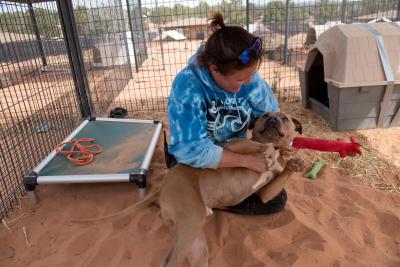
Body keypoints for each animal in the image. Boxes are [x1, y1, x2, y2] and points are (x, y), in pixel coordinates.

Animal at [76, 111, 304, 267]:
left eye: (284, 118)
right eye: (265, 115)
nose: (272, 119)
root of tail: (163, 185)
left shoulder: (264, 193)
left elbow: (278, 174)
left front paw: (296, 164)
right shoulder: (233, 147)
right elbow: (261, 146)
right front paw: (268, 151)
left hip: (194, 241)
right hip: (192, 219)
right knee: (168, 262)